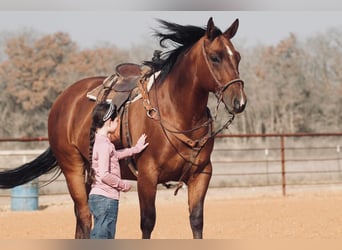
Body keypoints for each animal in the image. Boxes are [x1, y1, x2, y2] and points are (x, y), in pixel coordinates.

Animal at [0, 17, 246, 238]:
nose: (240, 102)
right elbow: (147, 222)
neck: (176, 112)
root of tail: (63, 100)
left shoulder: (202, 174)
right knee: (85, 217)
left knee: (81, 220)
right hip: (73, 167)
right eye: (215, 57)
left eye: (238, 57)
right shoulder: (147, 176)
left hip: (90, 172)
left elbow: (196, 221)